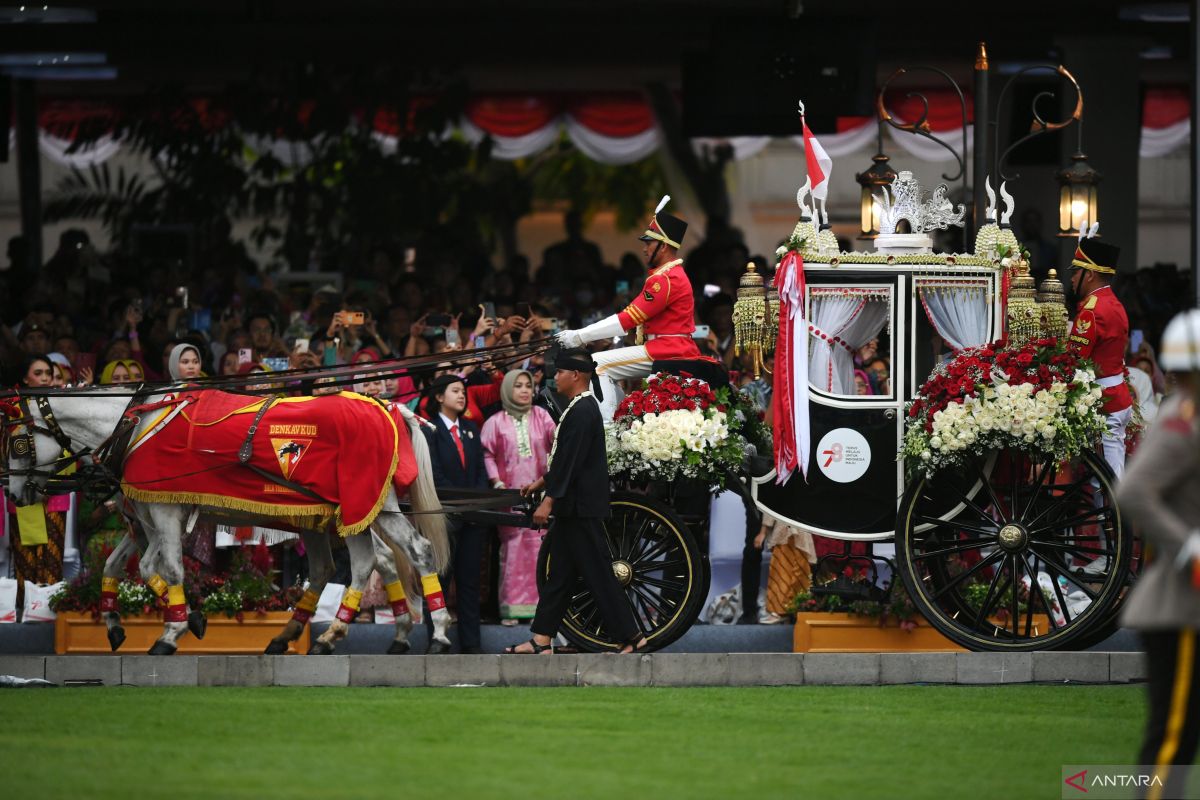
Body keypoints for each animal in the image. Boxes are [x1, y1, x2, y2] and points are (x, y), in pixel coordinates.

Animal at [3, 388, 453, 657]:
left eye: (18, 443)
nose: (13, 493)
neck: (134, 427)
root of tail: (387, 408)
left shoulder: (162, 511)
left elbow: (163, 567)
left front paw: (172, 631)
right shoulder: (145, 513)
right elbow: (129, 566)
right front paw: (169, 618)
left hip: (367, 505)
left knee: (411, 552)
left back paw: (437, 633)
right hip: (347, 514)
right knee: (358, 565)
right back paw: (324, 635)